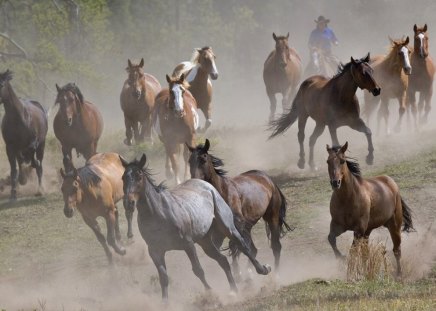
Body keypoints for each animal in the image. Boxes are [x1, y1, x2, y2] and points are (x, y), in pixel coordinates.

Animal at [0, 69, 47, 200]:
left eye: (2, 84)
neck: (18, 117)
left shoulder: (33, 142)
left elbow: (30, 156)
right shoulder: (10, 147)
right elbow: (14, 168)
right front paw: (14, 192)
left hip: (42, 145)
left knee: (39, 164)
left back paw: (40, 190)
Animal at [119, 155, 270, 304]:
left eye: (139, 175)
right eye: (123, 177)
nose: (128, 203)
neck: (159, 213)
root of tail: (206, 184)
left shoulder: (188, 244)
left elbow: (198, 270)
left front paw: (210, 294)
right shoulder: (155, 251)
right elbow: (163, 277)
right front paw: (165, 304)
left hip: (227, 227)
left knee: (244, 247)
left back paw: (263, 269)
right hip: (205, 241)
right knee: (223, 260)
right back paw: (233, 291)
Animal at [186, 140, 292, 276]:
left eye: (203, 159)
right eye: (190, 161)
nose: (195, 181)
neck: (221, 193)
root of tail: (268, 179)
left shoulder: (236, 226)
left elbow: (236, 247)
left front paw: (238, 274)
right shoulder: (218, 231)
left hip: (271, 217)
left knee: (275, 246)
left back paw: (275, 276)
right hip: (248, 226)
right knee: (254, 249)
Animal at [326, 143, 414, 276]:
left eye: (342, 161)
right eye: (328, 161)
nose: (335, 183)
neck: (347, 199)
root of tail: (391, 183)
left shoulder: (359, 229)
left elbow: (353, 251)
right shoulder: (337, 225)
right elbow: (331, 239)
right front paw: (340, 258)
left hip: (394, 225)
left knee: (397, 250)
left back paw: (399, 274)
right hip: (368, 231)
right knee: (366, 253)